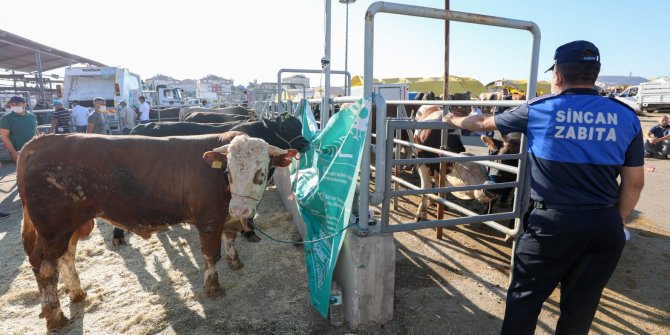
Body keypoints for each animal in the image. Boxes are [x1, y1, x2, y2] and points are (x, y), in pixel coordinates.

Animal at [17, 131, 296, 330]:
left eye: (261, 172)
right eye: (228, 171)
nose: (240, 209)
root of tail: (46, 139)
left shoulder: (226, 219)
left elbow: (230, 238)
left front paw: (235, 262)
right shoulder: (209, 220)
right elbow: (210, 255)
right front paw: (213, 288)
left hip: (72, 225)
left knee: (67, 256)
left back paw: (76, 293)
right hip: (54, 228)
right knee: (45, 267)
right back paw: (55, 316)